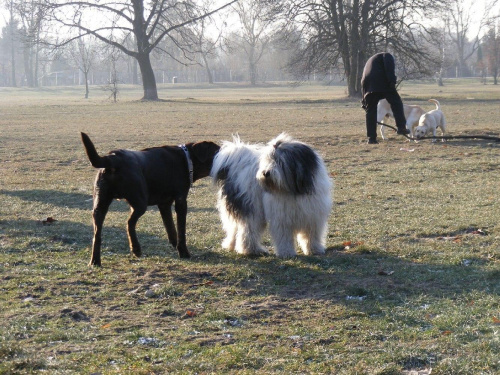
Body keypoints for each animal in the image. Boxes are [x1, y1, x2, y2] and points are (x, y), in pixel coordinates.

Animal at [81, 132, 220, 268]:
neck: (187, 159)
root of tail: (113, 158)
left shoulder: (164, 204)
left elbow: (170, 227)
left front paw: (174, 245)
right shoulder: (181, 201)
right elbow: (181, 230)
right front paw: (183, 252)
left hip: (100, 205)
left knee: (97, 235)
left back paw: (95, 261)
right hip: (140, 202)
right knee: (129, 223)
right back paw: (136, 248)